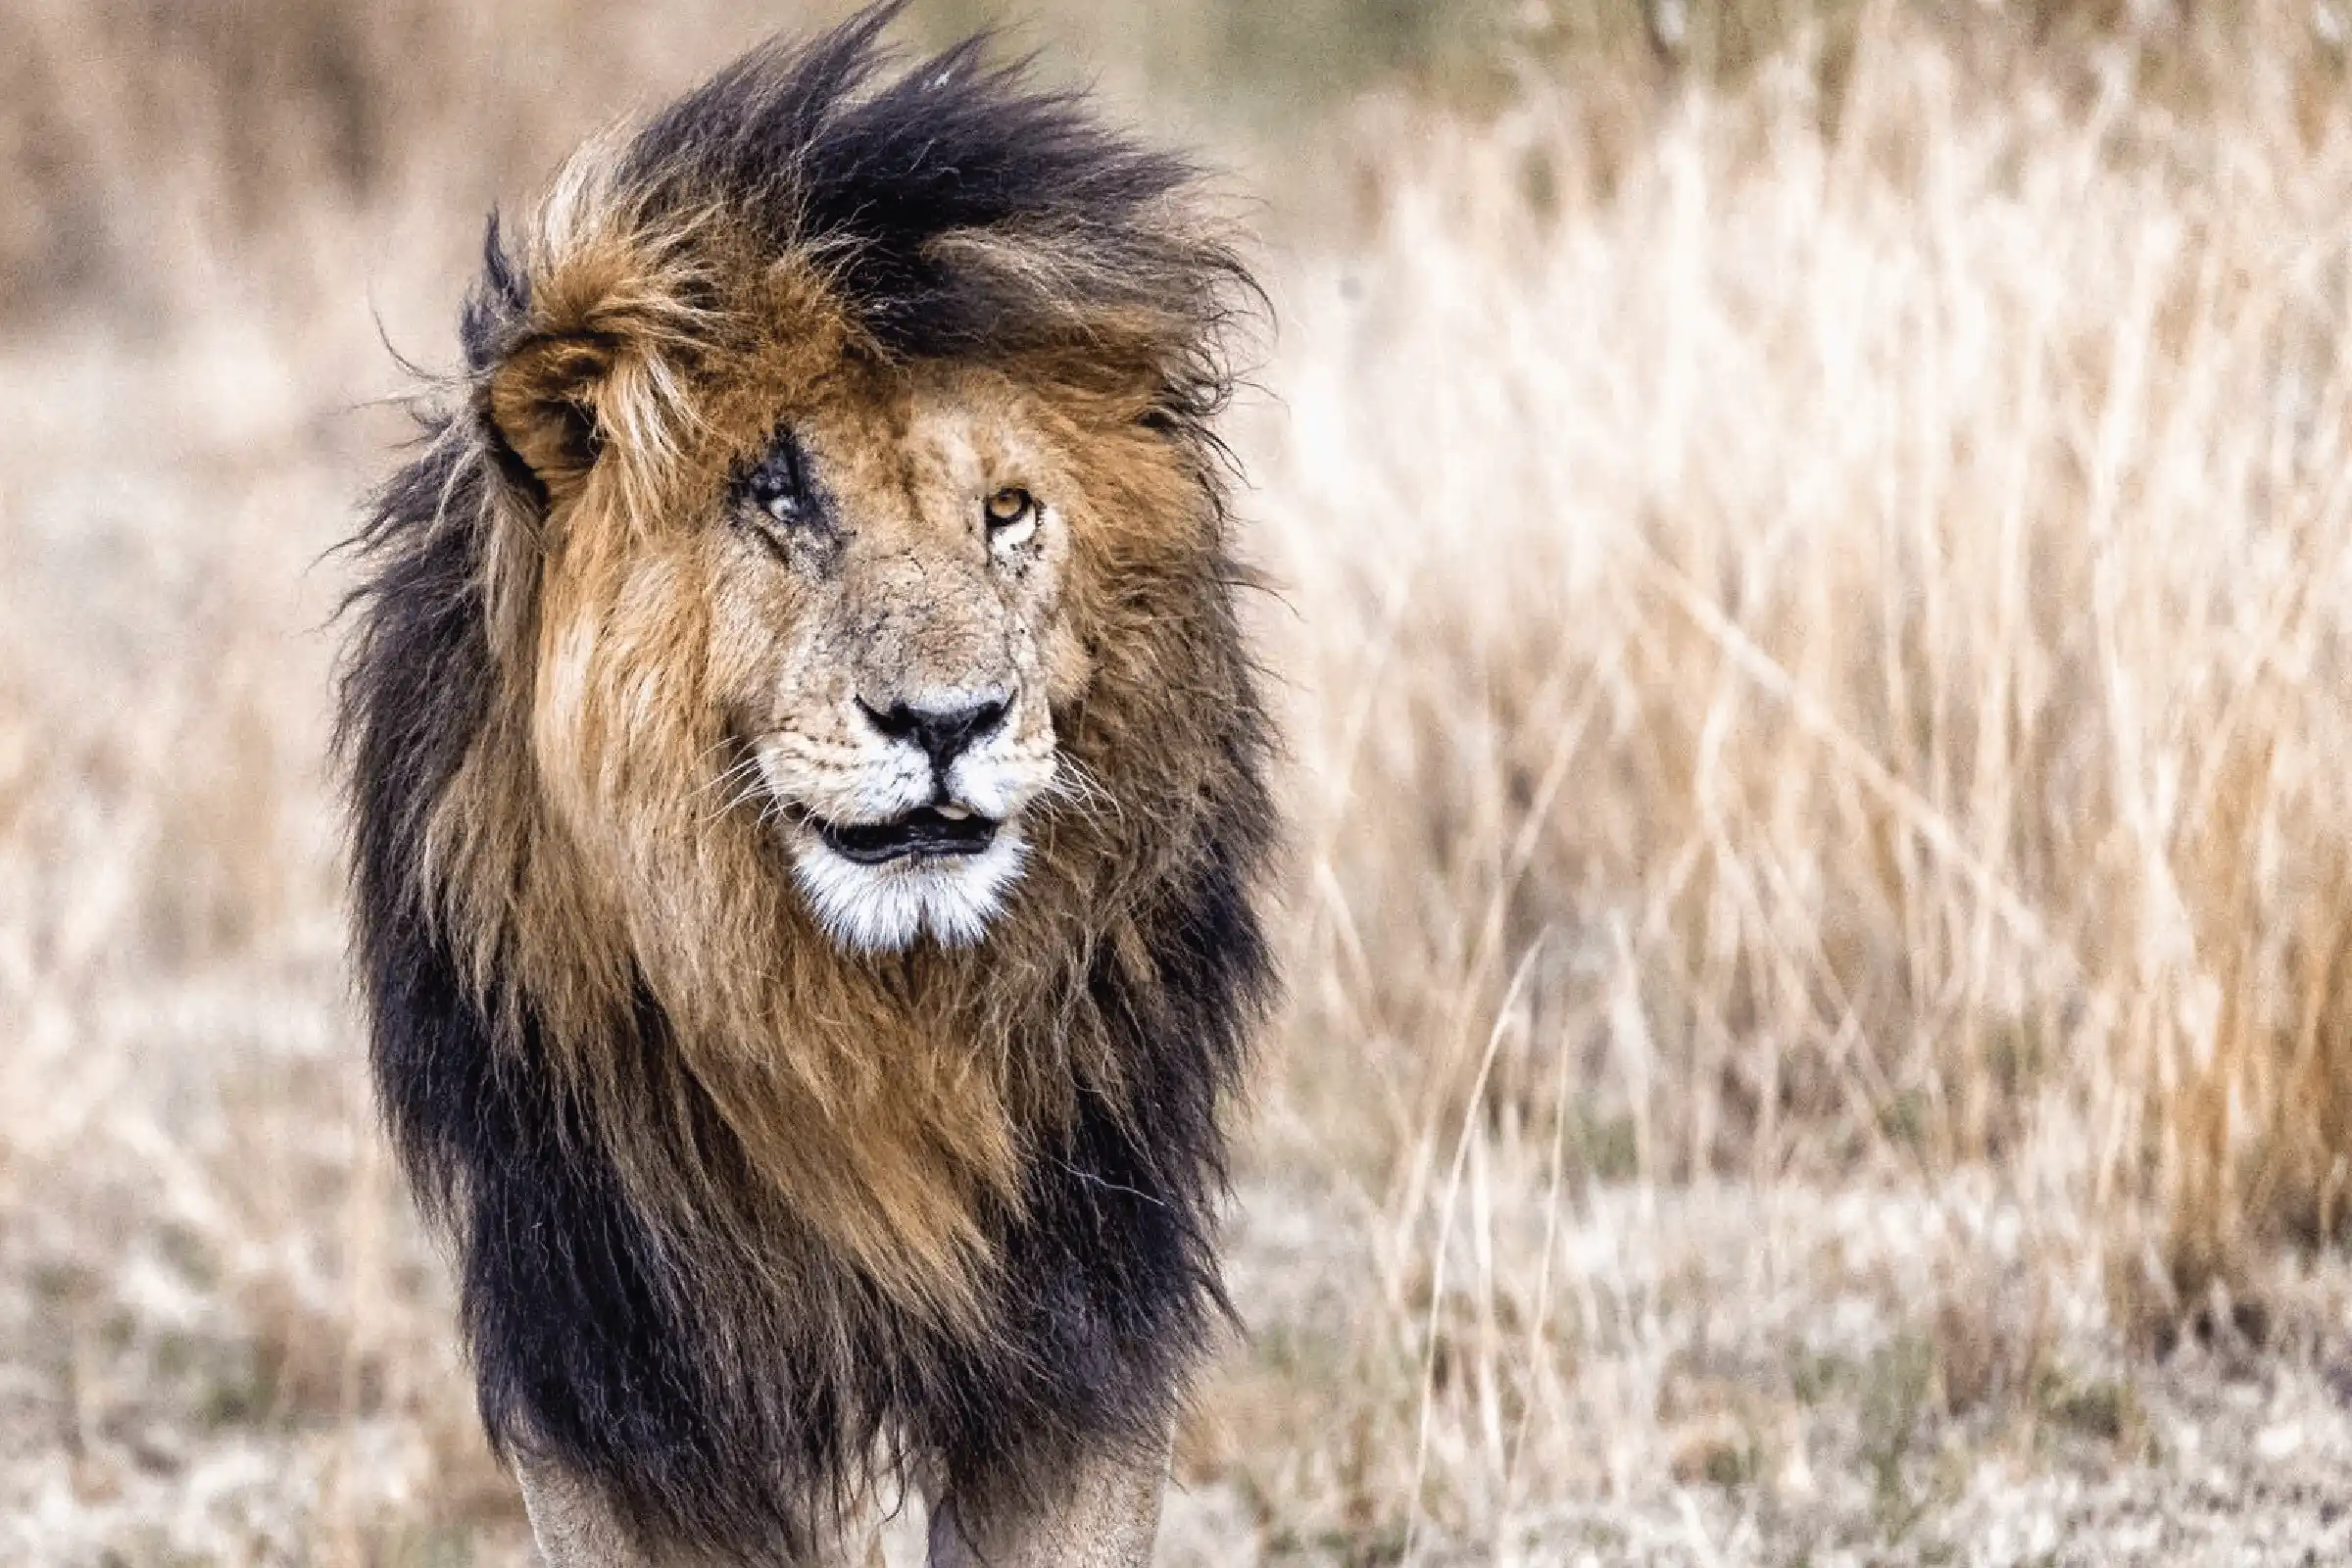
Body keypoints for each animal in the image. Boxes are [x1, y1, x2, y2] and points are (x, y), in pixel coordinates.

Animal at [337, 8, 1274, 1564]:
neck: (854, 1018)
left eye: (1005, 512)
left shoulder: (1082, 1317)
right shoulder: (599, 1350)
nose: (949, 721)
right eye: (779, 498)